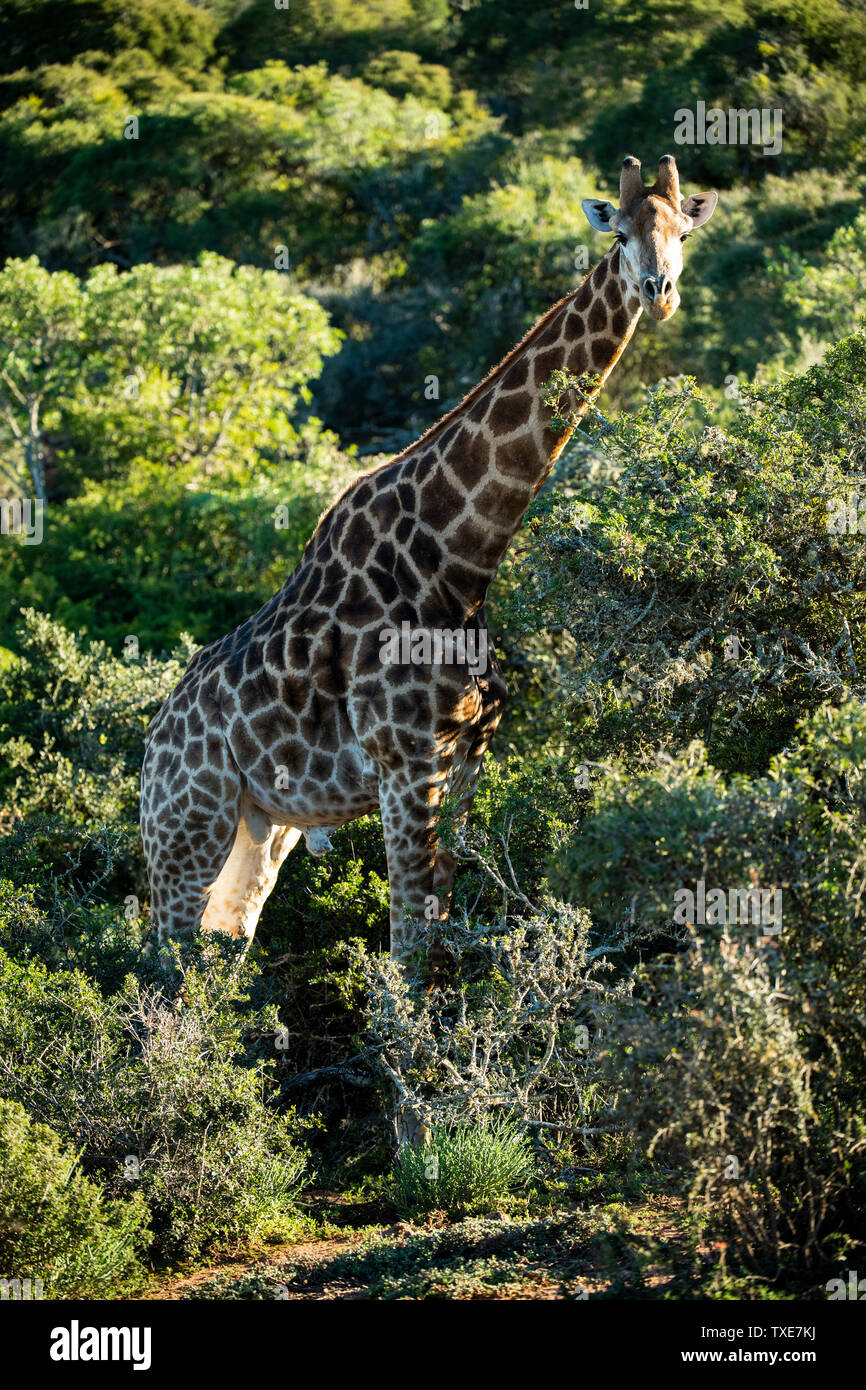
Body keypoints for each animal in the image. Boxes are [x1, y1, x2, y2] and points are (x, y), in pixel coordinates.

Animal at [140, 154, 717, 972]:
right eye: (621, 232)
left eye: (682, 232)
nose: (657, 291)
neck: (462, 556)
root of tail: (150, 747)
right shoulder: (406, 764)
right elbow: (411, 950)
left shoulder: (466, 760)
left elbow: (437, 945)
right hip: (186, 825)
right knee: (159, 961)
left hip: (259, 830)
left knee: (220, 948)